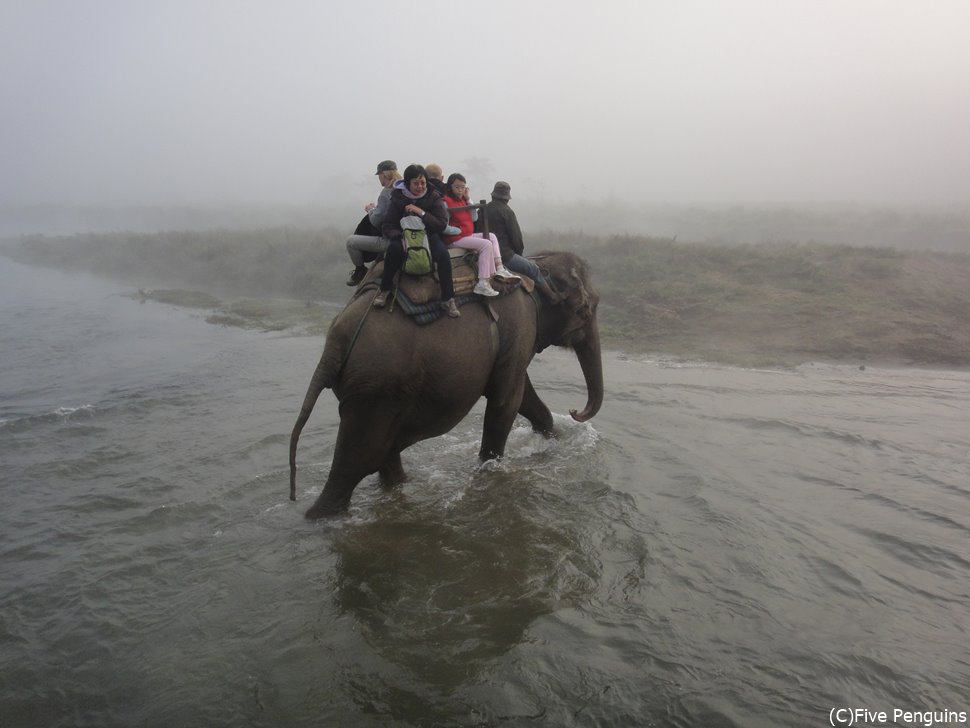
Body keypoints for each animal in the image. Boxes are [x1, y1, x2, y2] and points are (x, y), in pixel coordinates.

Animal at [288, 250, 600, 516]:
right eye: (587, 309)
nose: (575, 411)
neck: (534, 268)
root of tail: (334, 342)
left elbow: (522, 394)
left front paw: (554, 440)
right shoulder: (521, 323)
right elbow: (505, 401)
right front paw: (490, 470)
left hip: (376, 390)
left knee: (382, 452)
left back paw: (401, 486)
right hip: (376, 387)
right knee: (358, 462)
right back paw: (321, 517)